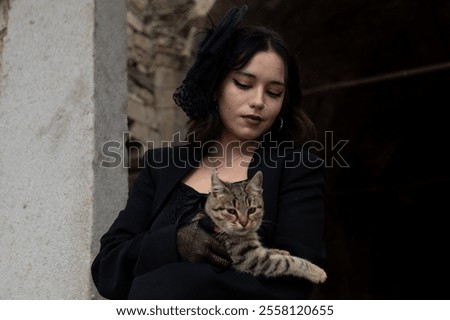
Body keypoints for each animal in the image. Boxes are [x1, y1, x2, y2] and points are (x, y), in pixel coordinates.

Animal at [193, 171, 326, 284]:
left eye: (252, 210)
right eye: (231, 211)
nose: (244, 222)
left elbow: (273, 253)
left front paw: (279, 251)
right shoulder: (250, 258)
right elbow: (287, 262)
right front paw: (316, 271)